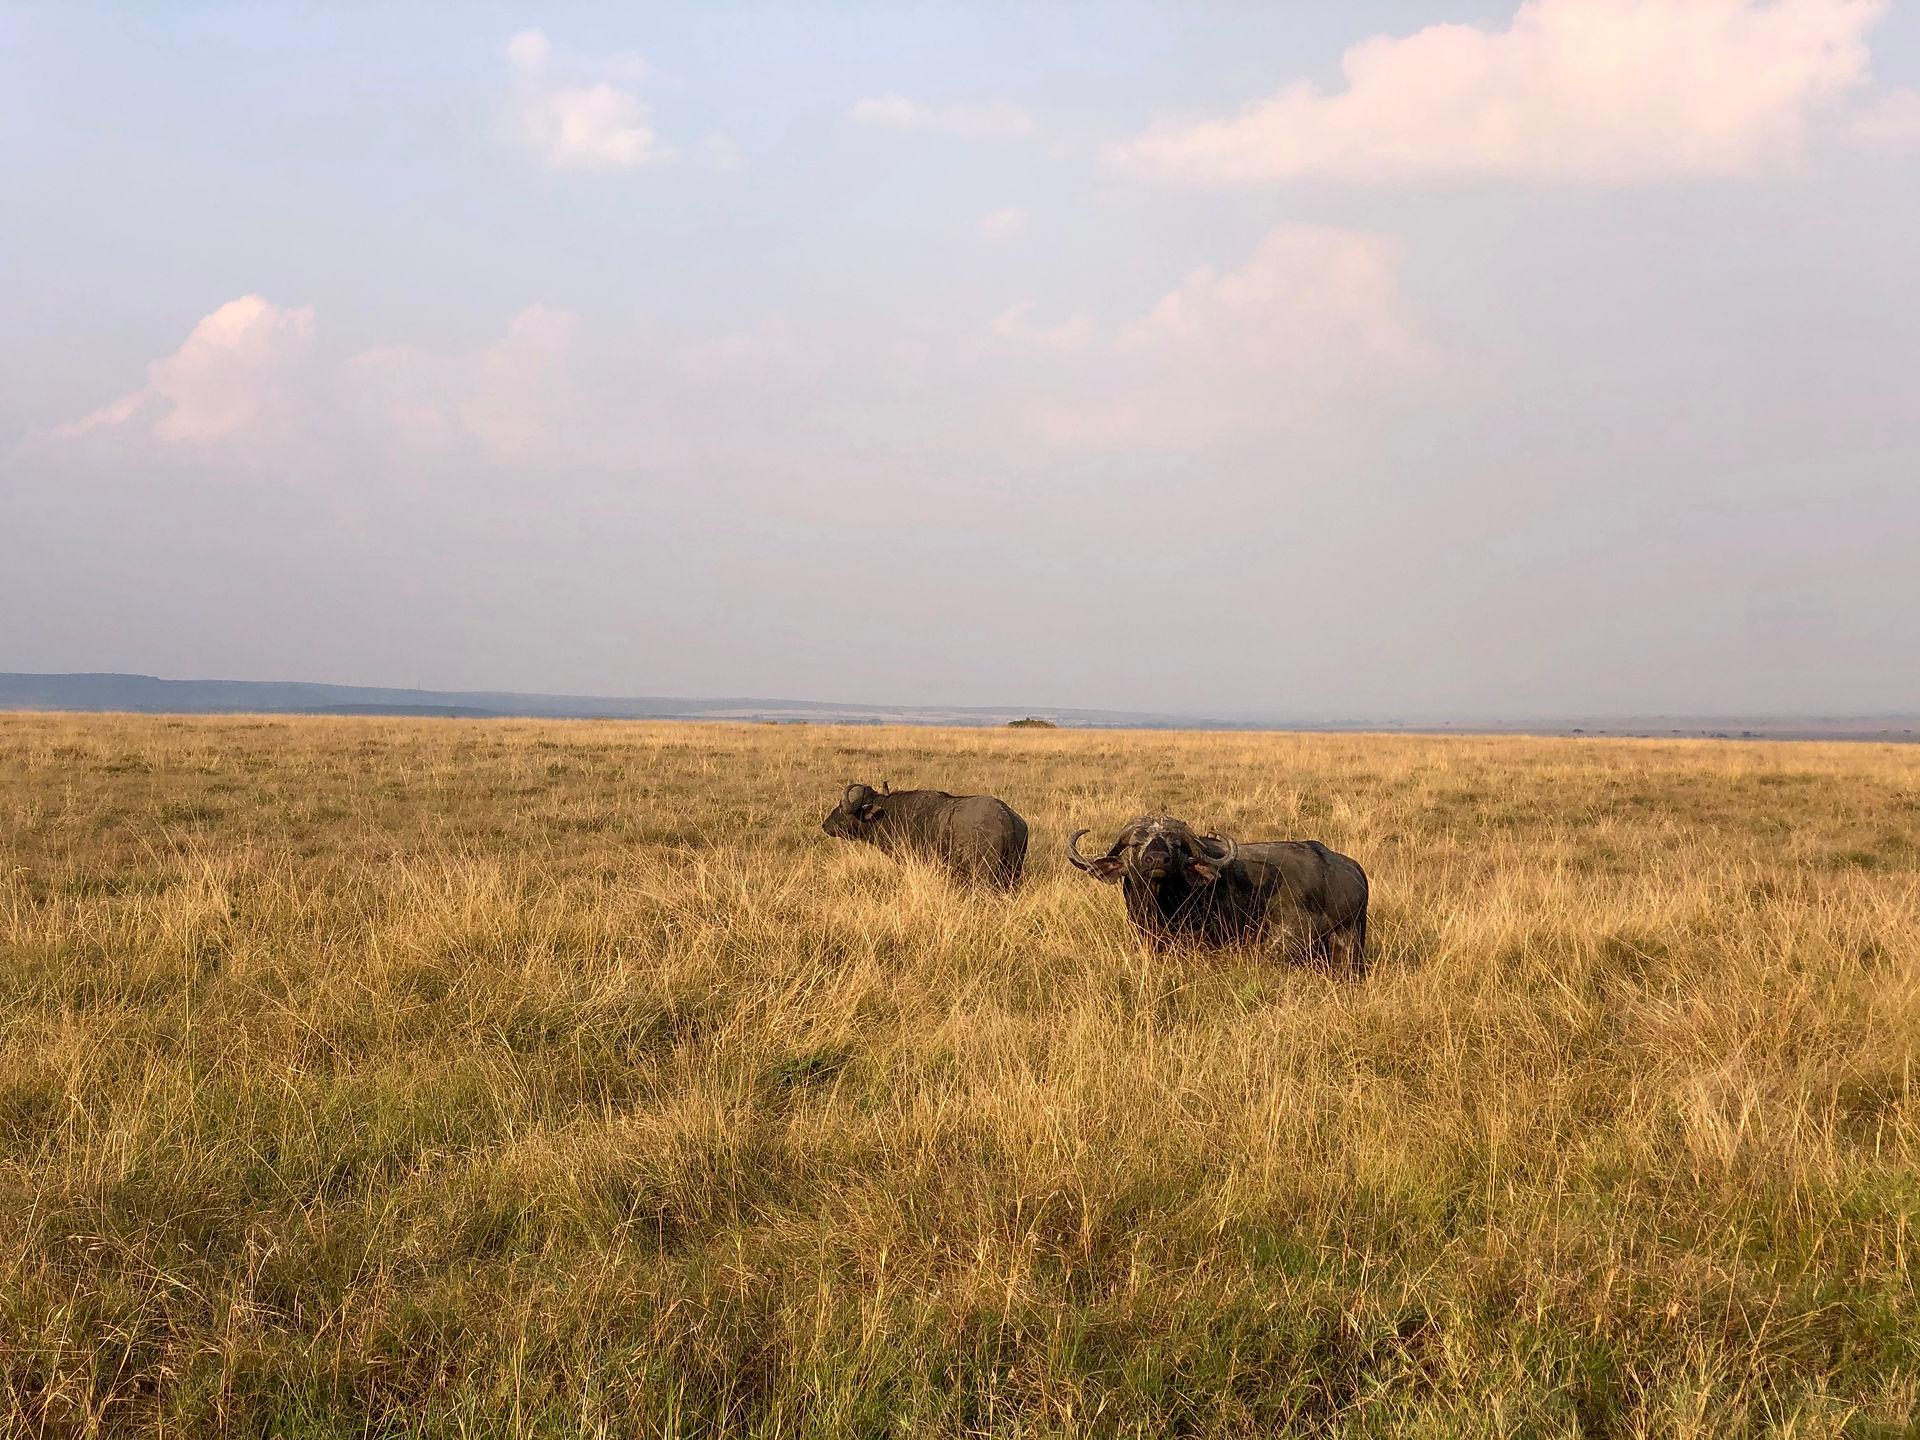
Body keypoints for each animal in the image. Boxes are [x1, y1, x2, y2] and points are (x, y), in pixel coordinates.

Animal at [822, 783, 1029, 889]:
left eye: (841, 806)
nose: (825, 825)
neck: (887, 813)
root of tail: (1004, 816)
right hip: (1012, 873)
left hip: (984, 876)